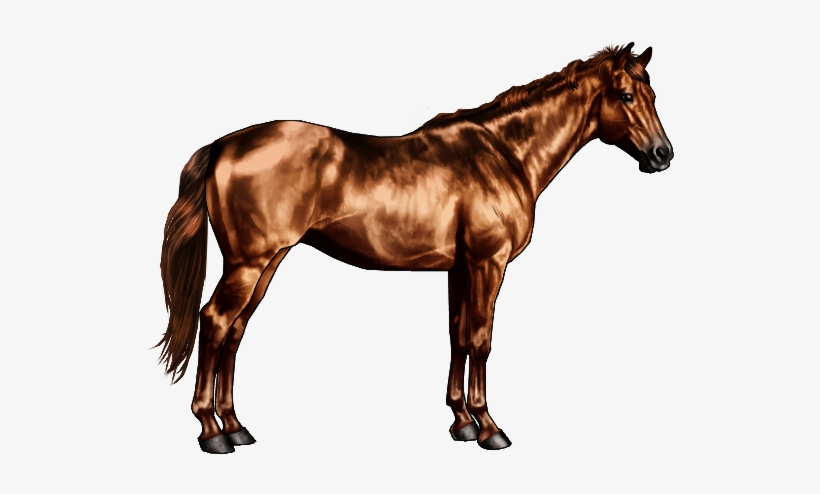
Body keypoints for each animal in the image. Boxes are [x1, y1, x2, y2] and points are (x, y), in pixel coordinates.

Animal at [157, 42, 674, 454]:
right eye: (627, 95)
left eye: (653, 95)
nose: (663, 155)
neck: (504, 154)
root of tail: (224, 145)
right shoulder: (488, 263)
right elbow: (481, 340)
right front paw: (490, 428)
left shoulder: (460, 268)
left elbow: (457, 335)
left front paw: (461, 422)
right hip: (250, 263)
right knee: (215, 322)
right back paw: (212, 432)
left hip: (266, 265)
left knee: (235, 331)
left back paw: (236, 426)